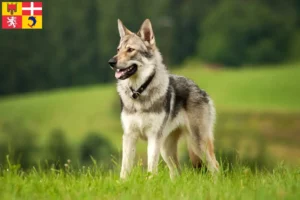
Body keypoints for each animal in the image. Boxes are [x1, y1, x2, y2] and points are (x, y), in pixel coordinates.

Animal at [109, 19, 219, 180]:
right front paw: (122, 183)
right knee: (176, 172)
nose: (111, 62)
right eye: (118, 50)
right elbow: (125, 169)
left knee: (215, 167)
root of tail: (200, 88)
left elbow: (151, 168)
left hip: (196, 144)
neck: (139, 92)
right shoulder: (129, 135)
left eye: (130, 50)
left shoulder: (153, 136)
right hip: (166, 150)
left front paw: (149, 182)